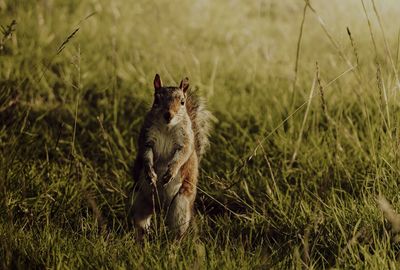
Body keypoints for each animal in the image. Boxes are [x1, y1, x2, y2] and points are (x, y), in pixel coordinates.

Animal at [131, 73, 212, 238]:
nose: (168, 115)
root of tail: (160, 207)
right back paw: (141, 238)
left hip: (180, 206)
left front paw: (171, 172)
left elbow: (182, 155)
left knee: (177, 231)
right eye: (156, 100)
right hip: (139, 198)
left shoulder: (185, 141)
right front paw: (150, 173)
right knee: (140, 222)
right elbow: (146, 154)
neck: (167, 127)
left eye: (182, 102)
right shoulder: (147, 138)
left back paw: (173, 243)